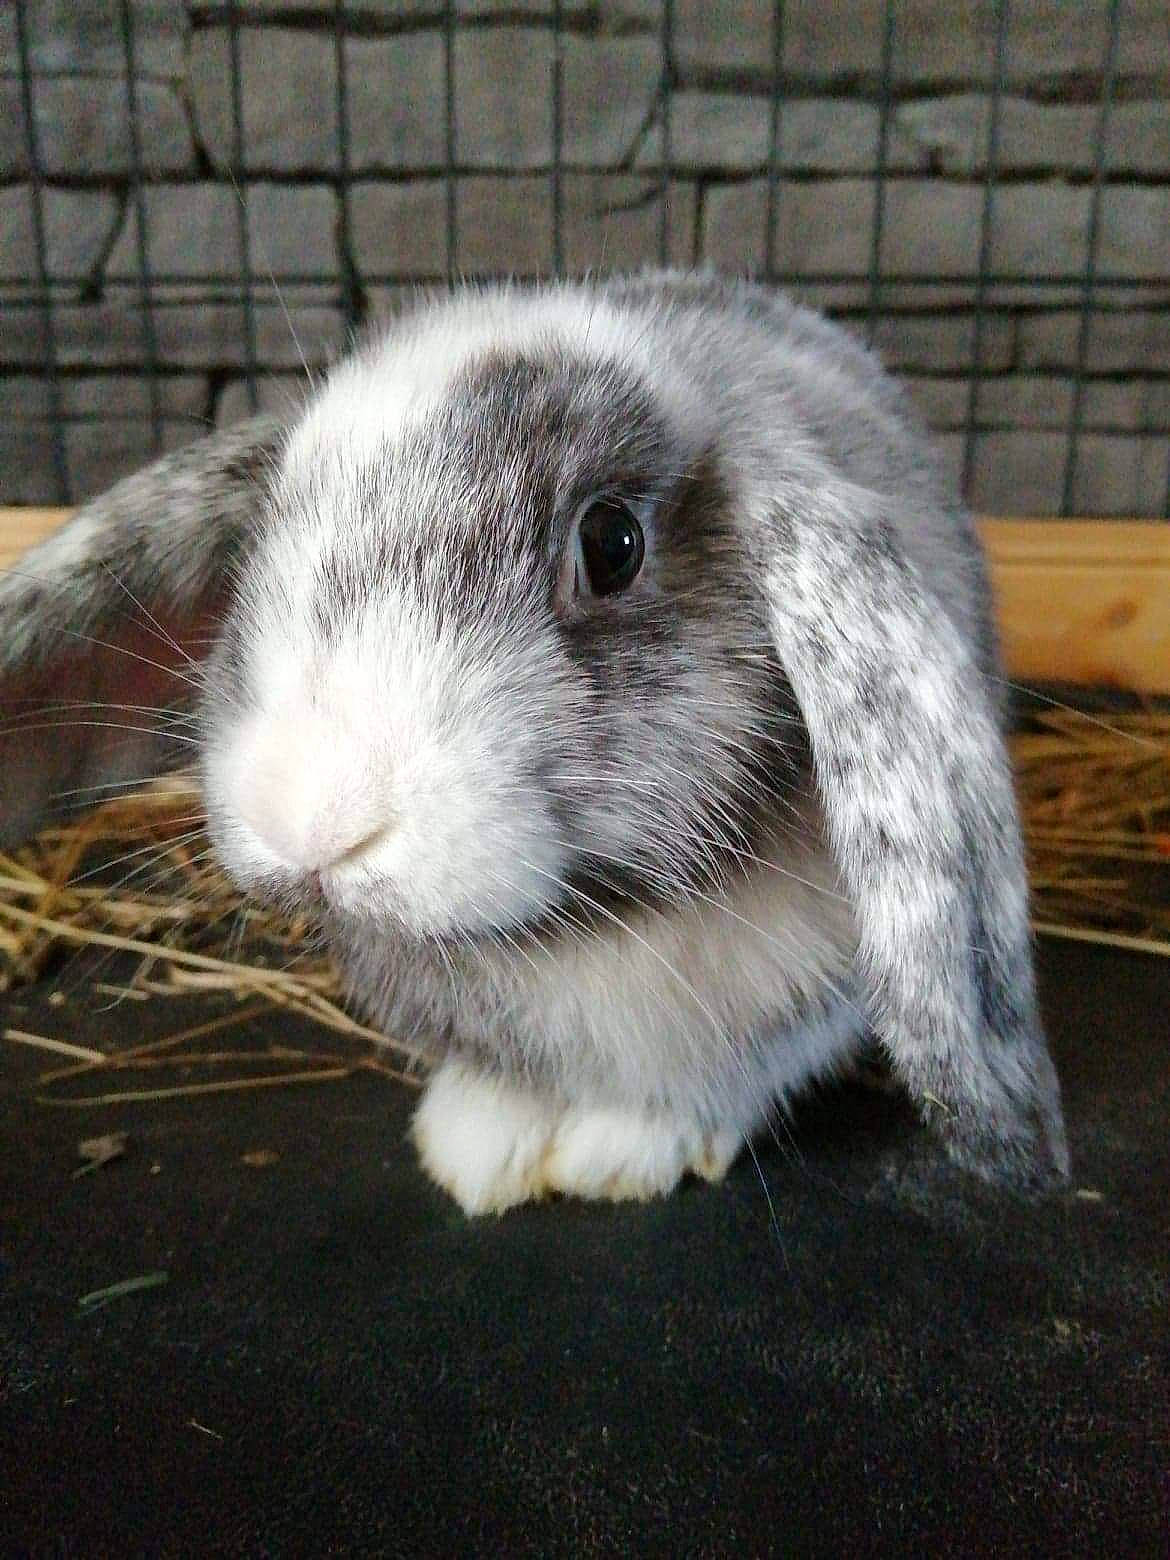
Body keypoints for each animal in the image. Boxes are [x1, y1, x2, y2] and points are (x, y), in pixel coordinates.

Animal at [0, 271, 1069, 1214]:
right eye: (264, 536)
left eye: (611, 543)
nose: (308, 821)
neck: (583, 926)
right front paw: (479, 1152)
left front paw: (622, 1156)